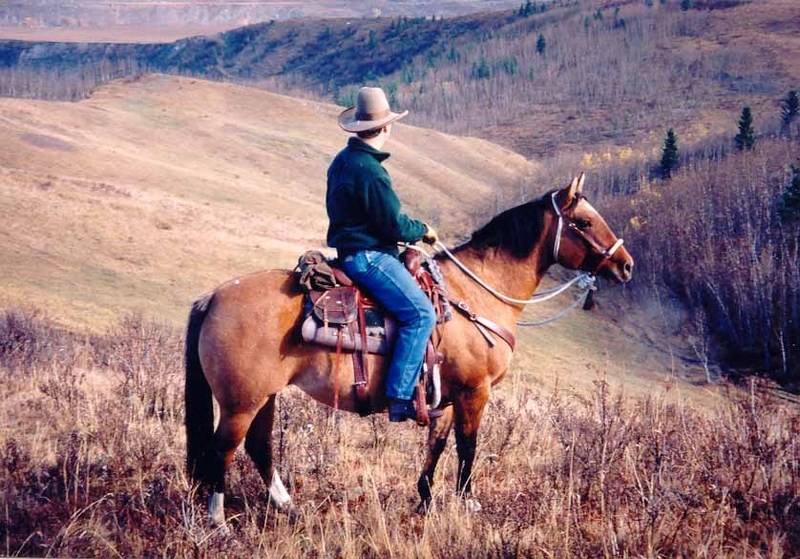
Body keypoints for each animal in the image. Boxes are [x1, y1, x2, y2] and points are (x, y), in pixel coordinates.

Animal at [186, 173, 632, 528]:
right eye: (584, 221)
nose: (625, 265)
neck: (477, 293)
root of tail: (214, 296)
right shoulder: (475, 392)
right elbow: (468, 447)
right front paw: (468, 503)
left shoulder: (447, 397)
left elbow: (436, 446)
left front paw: (425, 501)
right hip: (241, 402)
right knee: (223, 449)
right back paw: (218, 521)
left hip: (265, 396)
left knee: (258, 446)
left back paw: (286, 506)